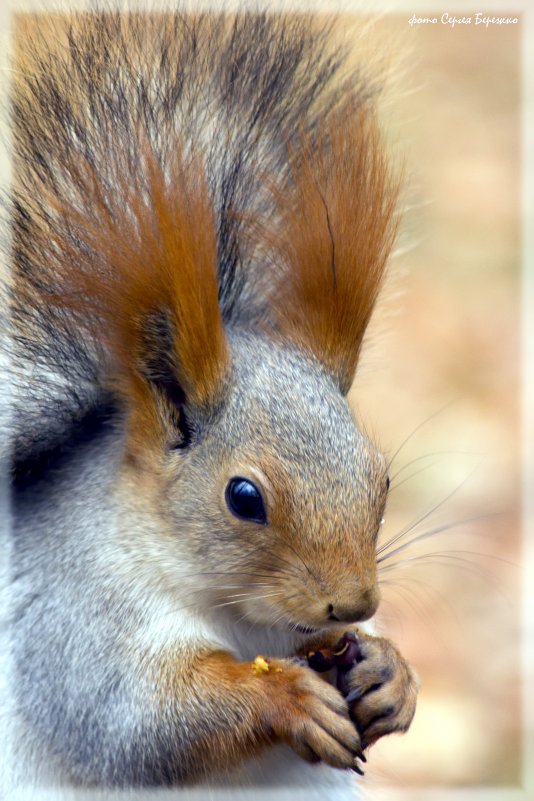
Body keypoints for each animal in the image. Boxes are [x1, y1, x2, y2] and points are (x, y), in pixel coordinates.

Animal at [3, 4, 422, 792]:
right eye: (243, 497)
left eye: (382, 480)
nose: (353, 601)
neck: (241, 617)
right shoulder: (74, 622)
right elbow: (134, 723)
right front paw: (283, 696)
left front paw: (392, 671)